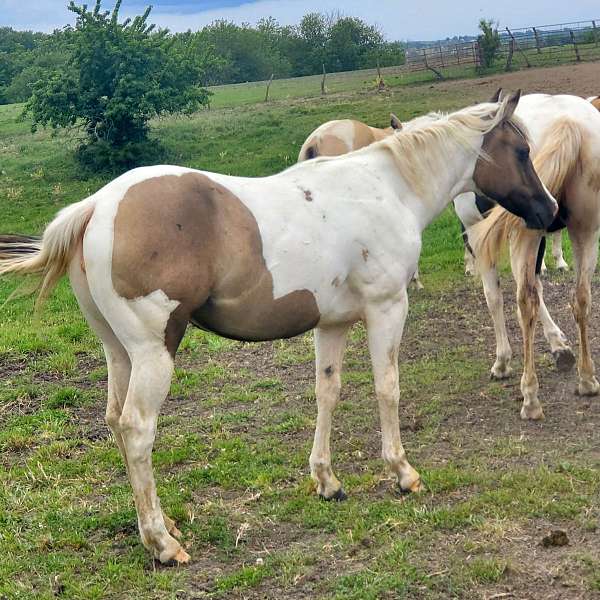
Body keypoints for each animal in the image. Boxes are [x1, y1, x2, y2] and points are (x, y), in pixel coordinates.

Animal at [0, 92, 556, 564]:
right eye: (522, 150)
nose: (549, 211)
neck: (389, 188)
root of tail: (97, 205)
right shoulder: (387, 309)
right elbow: (388, 388)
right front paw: (402, 472)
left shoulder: (332, 324)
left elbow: (327, 392)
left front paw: (327, 481)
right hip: (153, 354)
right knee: (137, 428)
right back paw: (163, 544)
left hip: (119, 353)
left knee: (116, 421)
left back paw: (160, 530)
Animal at [466, 95, 600, 422]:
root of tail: (569, 122)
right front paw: (561, 347)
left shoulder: (479, 238)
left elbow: (495, 297)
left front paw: (502, 362)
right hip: (586, 230)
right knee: (581, 298)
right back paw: (587, 379)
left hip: (525, 235)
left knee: (525, 300)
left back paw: (530, 397)